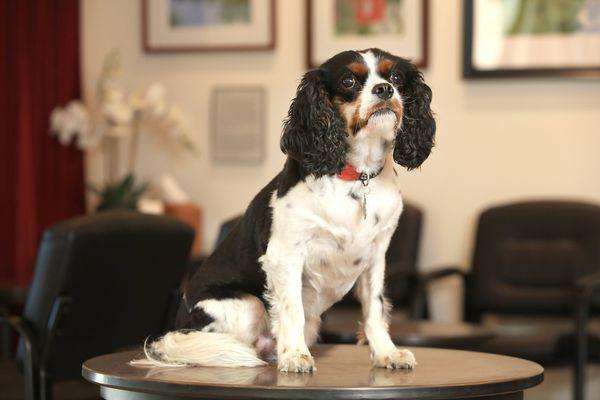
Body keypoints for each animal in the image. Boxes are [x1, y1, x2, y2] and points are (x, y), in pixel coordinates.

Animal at [138, 48, 434, 374]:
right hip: (247, 306)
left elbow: (375, 310)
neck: (356, 175)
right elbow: (293, 310)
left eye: (395, 77)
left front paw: (386, 353)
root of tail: (177, 325)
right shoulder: (285, 255)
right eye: (348, 81)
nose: (384, 90)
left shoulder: (375, 258)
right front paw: (294, 355)